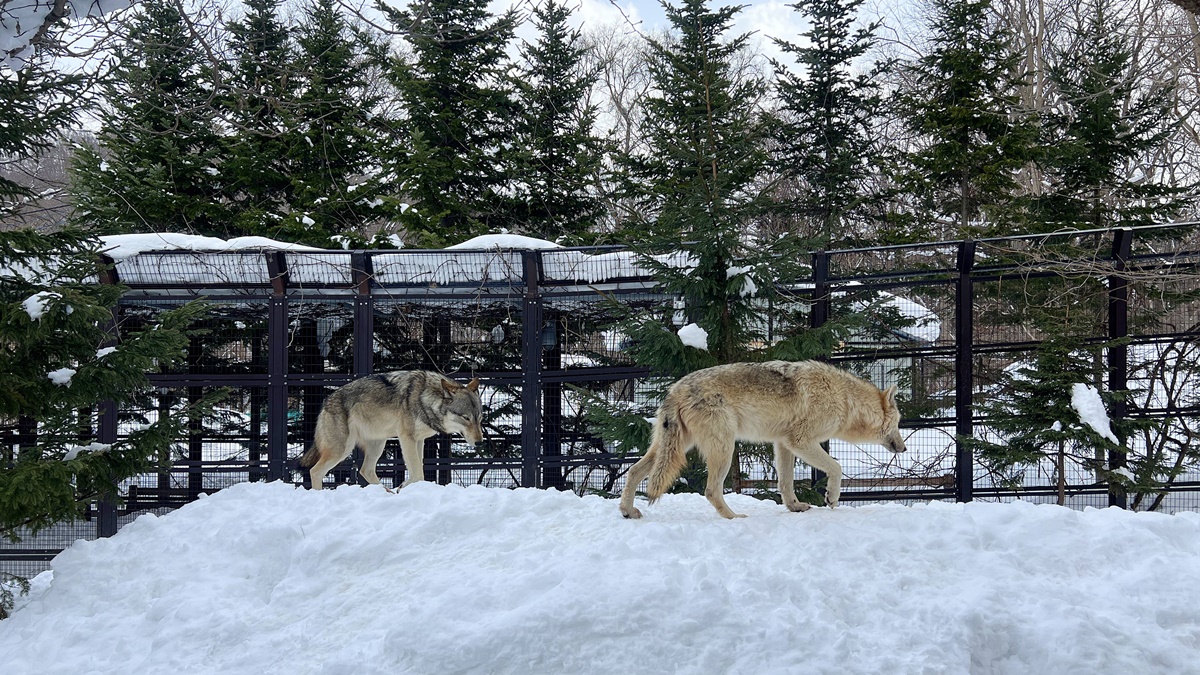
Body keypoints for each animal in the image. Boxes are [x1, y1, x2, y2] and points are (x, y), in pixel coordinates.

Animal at [298, 369, 482, 485]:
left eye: (479, 418)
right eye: (466, 418)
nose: (479, 442)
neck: (424, 398)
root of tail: (326, 402)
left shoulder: (419, 440)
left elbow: (417, 471)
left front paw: (403, 487)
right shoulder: (406, 438)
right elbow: (417, 472)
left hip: (378, 444)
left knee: (366, 471)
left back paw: (388, 492)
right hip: (342, 450)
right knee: (315, 471)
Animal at [624, 360, 902, 516]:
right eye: (899, 423)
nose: (904, 448)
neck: (844, 399)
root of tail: (676, 389)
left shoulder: (784, 444)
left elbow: (786, 483)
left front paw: (795, 507)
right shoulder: (800, 441)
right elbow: (836, 467)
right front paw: (831, 498)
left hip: (674, 448)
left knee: (634, 471)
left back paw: (628, 511)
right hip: (724, 450)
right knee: (711, 490)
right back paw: (734, 518)